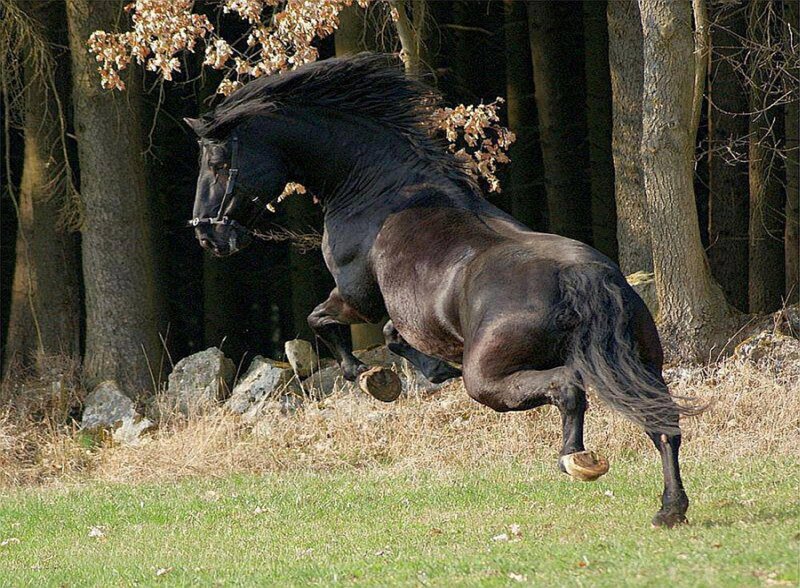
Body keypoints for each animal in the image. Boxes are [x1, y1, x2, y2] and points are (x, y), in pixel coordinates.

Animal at [184, 53, 697, 528]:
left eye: (218, 162)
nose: (207, 236)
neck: (379, 189)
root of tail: (586, 278)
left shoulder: (356, 296)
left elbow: (323, 321)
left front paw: (371, 378)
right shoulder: (401, 309)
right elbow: (392, 335)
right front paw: (427, 372)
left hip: (489, 378)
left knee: (569, 388)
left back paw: (578, 460)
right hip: (641, 365)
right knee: (663, 426)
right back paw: (669, 510)